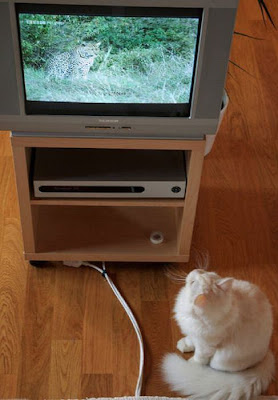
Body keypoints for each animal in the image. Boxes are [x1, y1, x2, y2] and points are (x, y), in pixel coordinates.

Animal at [162, 268, 274, 400]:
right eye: (203, 272)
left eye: (193, 282)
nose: (195, 270)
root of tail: (267, 353)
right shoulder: (194, 334)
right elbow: (190, 339)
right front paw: (184, 344)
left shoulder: (205, 344)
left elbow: (199, 356)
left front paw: (192, 365)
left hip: (221, 360)